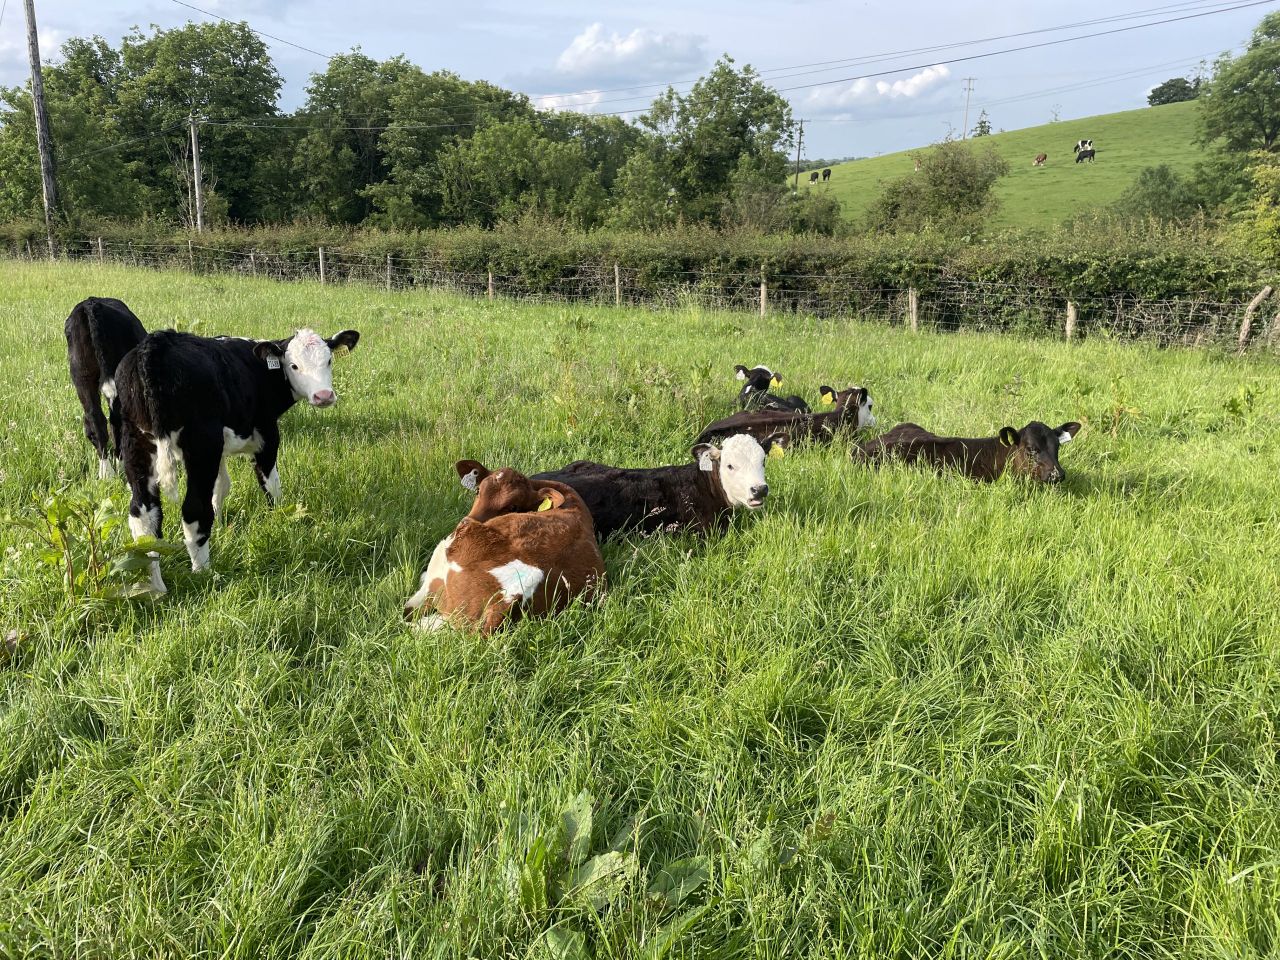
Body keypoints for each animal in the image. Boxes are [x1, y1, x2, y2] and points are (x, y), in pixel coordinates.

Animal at [65, 297, 147, 479]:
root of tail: (90, 303)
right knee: (116, 420)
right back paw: (120, 465)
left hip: (82, 375)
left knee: (95, 419)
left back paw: (106, 474)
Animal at [114, 327, 360, 593]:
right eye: (294, 365)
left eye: (329, 360)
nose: (323, 396)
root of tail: (155, 345)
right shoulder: (266, 437)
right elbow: (272, 486)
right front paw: (279, 519)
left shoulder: (219, 450)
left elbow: (221, 487)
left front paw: (222, 525)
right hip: (201, 445)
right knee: (193, 510)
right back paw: (202, 573)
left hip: (137, 444)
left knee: (143, 516)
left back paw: (156, 588)